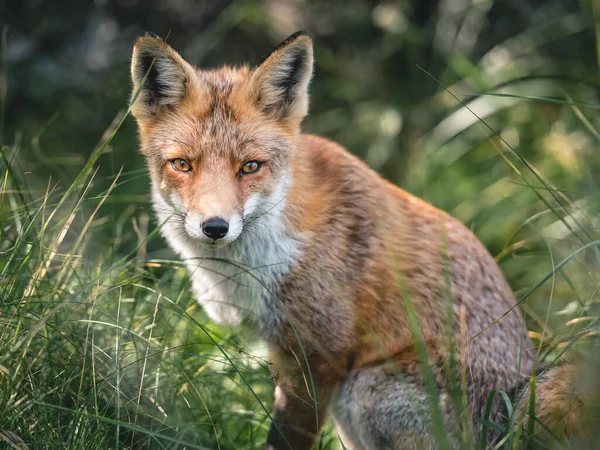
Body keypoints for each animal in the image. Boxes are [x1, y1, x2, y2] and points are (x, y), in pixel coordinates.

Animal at [130, 30, 584, 446]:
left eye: (250, 167)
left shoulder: (319, 355)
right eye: (182, 164)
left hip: (365, 388)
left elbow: (284, 438)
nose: (215, 227)